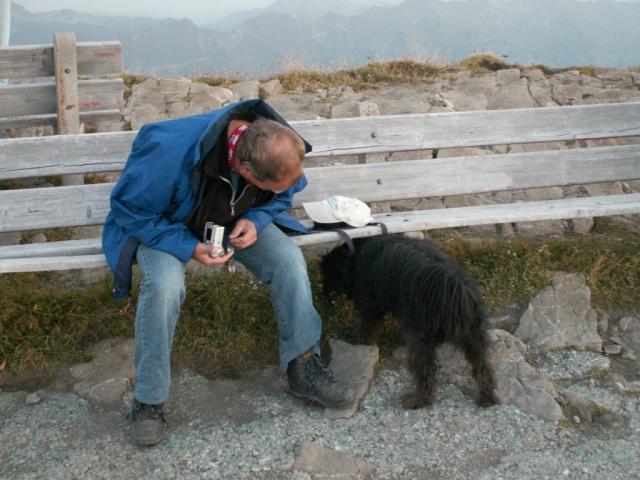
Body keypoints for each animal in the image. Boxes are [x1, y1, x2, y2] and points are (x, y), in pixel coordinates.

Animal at [320, 234, 500, 406]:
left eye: (328, 275)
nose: (324, 294)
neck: (357, 254)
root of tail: (456, 290)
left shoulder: (371, 303)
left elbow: (368, 325)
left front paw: (359, 340)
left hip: (419, 336)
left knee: (426, 369)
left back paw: (419, 399)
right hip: (474, 336)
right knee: (483, 365)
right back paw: (487, 396)